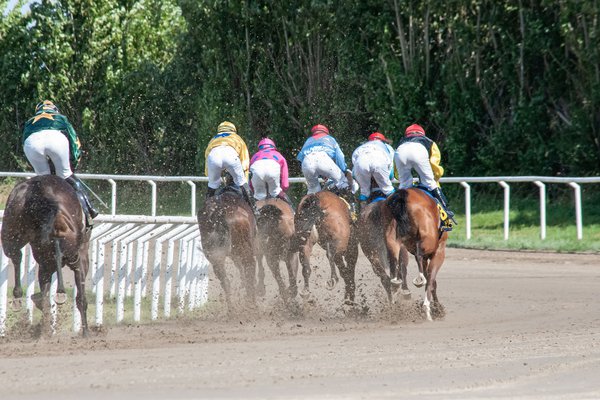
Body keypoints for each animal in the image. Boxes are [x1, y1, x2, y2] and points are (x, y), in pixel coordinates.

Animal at [0, 177, 90, 336]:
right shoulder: (81, 256)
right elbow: (81, 296)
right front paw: (86, 333)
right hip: (62, 240)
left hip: (11, 227)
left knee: (15, 255)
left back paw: (20, 298)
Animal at [384, 188, 450, 322]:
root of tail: (404, 195)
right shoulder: (439, 252)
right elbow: (432, 280)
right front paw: (435, 309)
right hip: (427, 240)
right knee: (420, 255)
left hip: (392, 237)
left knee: (394, 261)